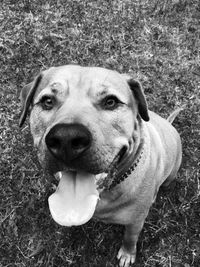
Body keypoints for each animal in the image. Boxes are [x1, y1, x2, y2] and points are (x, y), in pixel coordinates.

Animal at [19, 65, 183, 267]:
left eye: (110, 102)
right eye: (47, 101)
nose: (66, 139)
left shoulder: (135, 222)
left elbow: (130, 238)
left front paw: (127, 254)